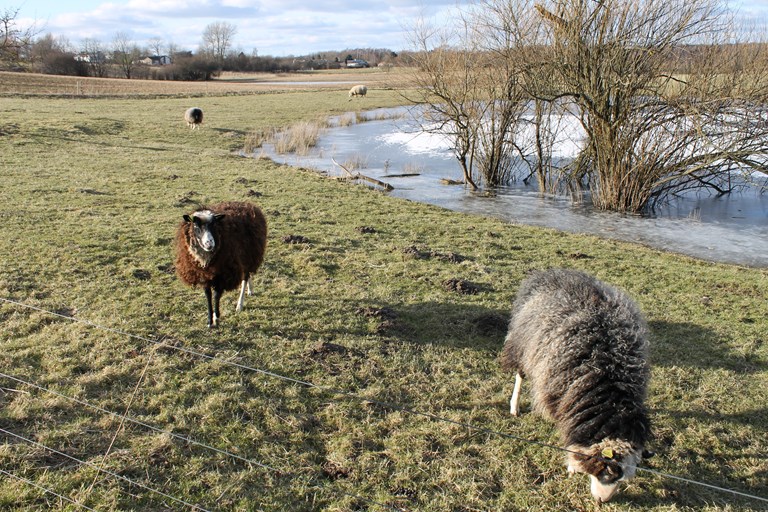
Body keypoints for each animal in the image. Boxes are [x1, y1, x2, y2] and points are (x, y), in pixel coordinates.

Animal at [498, 270, 656, 502]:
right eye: (607, 470)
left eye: (626, 477)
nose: (602, 501)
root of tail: (553, 271)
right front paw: (572, 465)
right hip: (523, 345)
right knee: (520, 375)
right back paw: (514, 407)